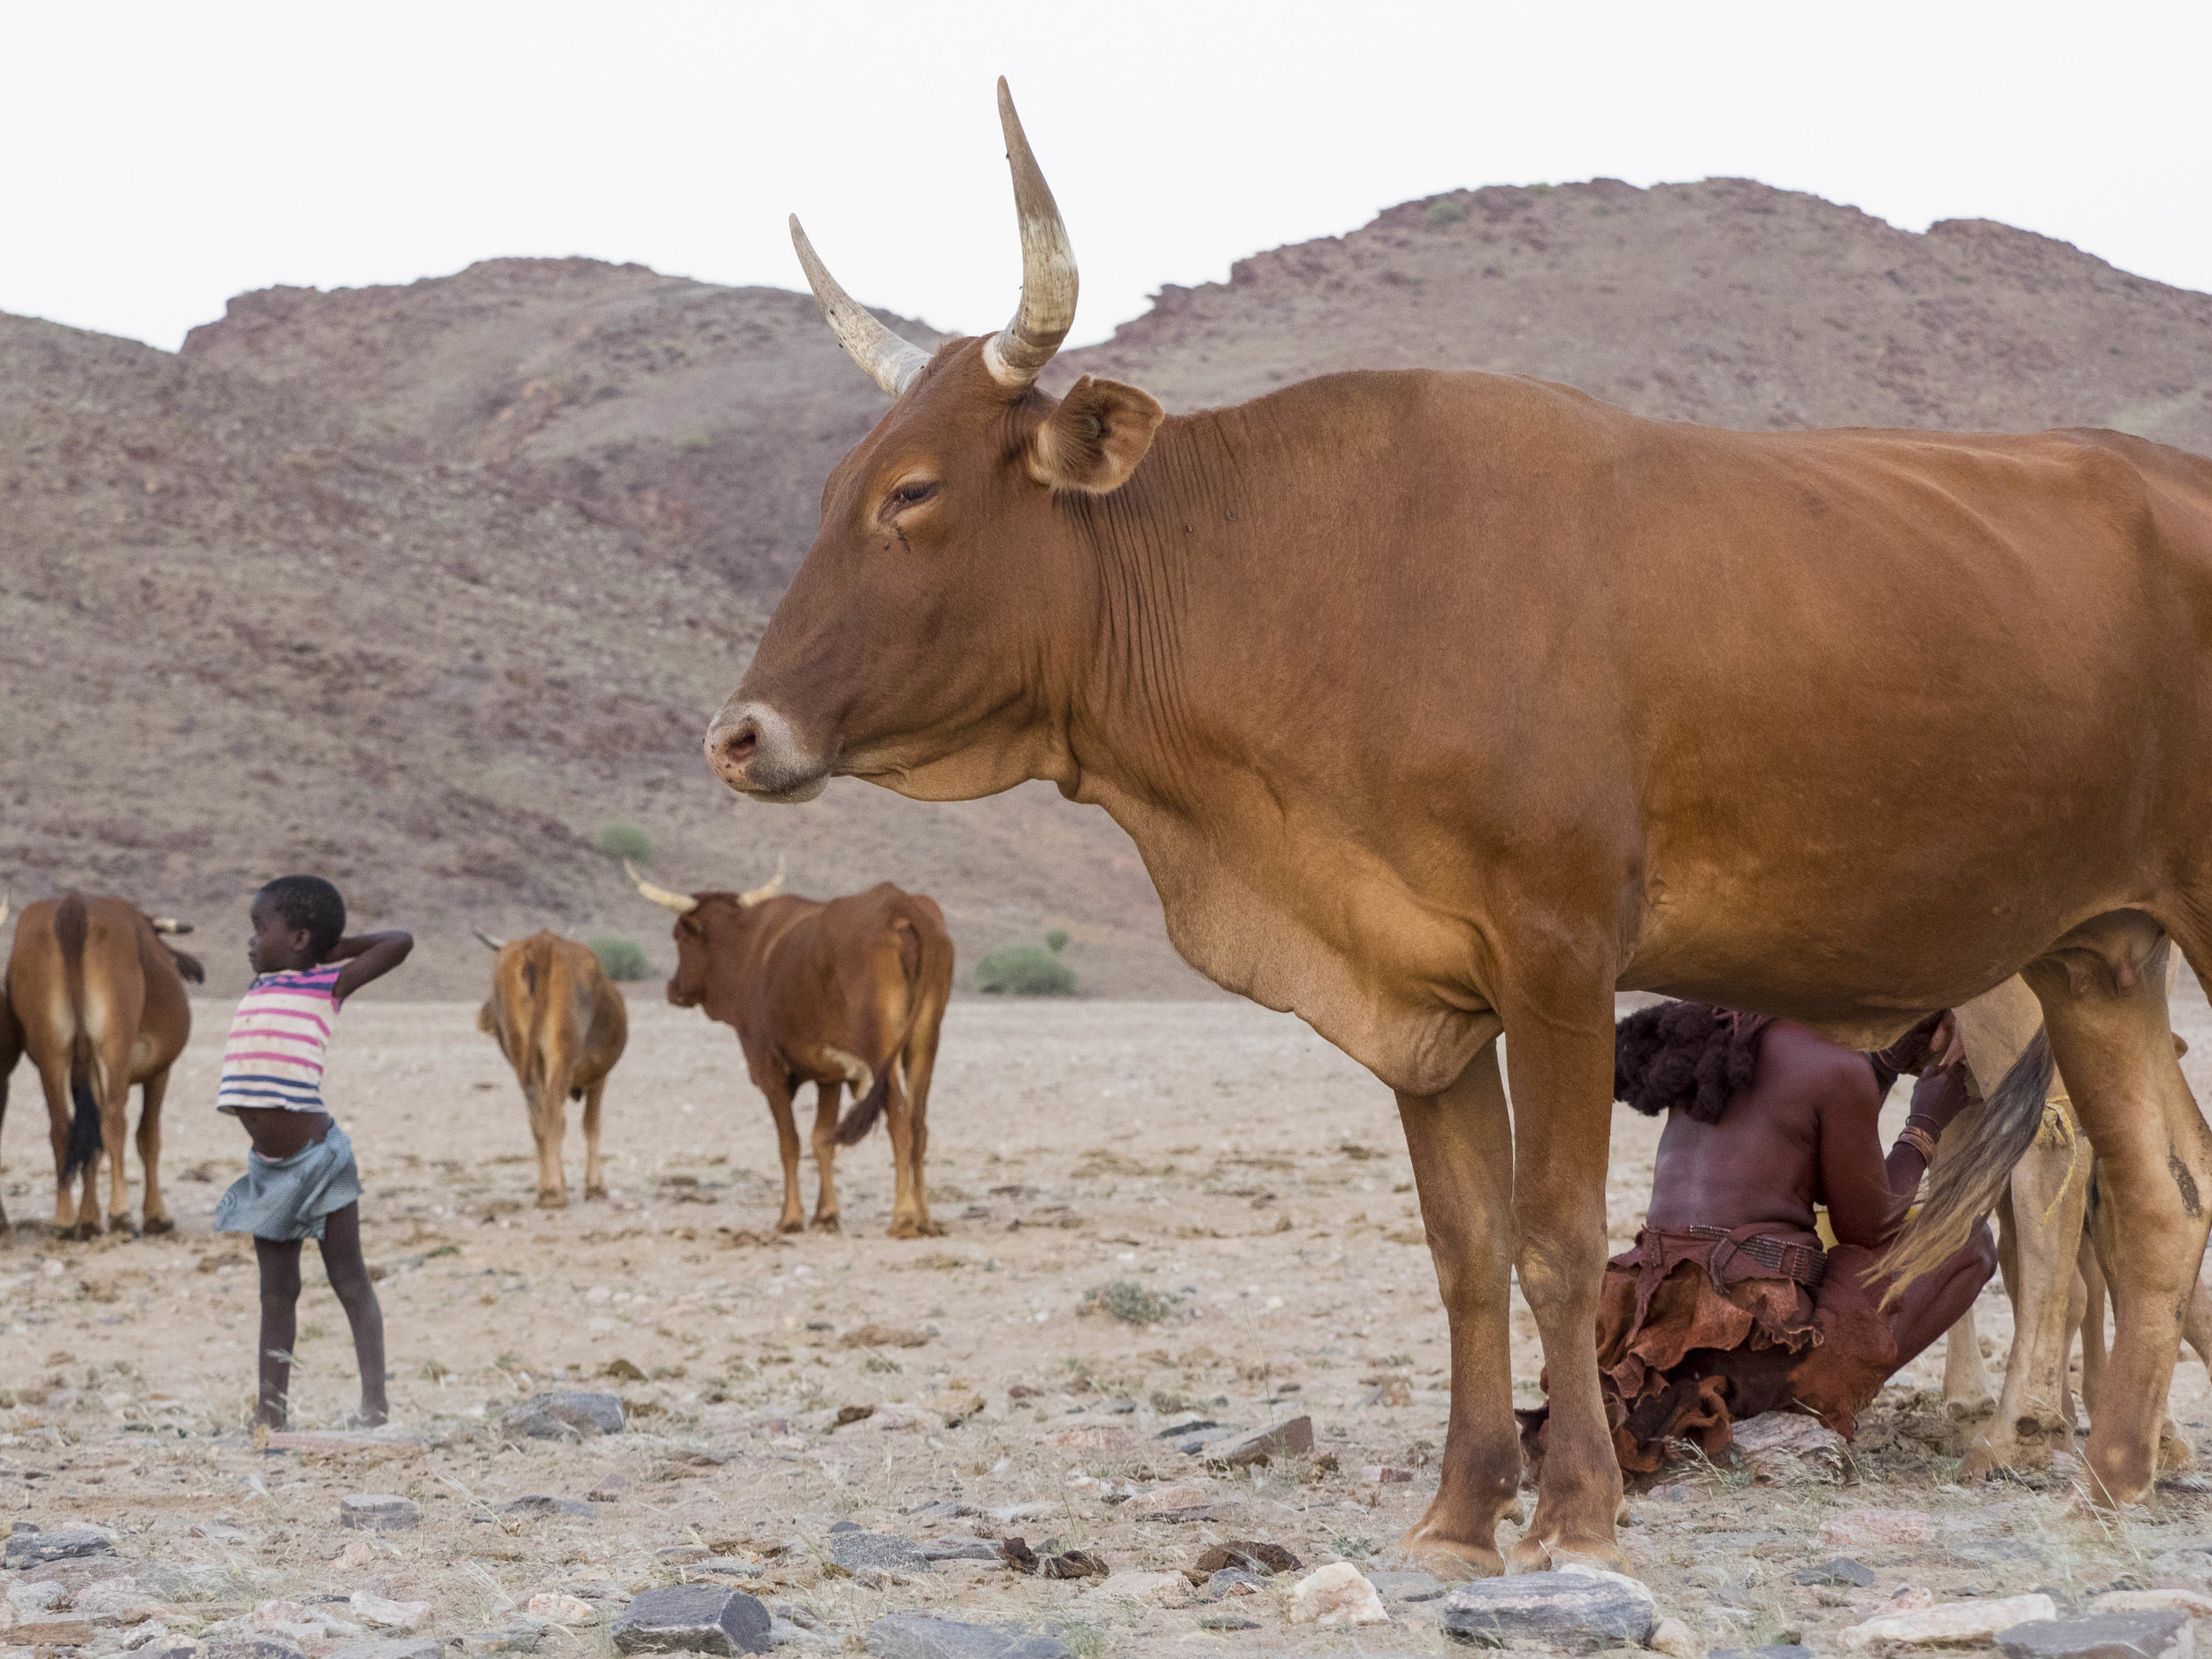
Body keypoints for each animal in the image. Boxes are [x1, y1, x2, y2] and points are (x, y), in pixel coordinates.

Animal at [1, 898, 204, 1239]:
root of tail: (74, 905)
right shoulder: (159, 1072)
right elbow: (148, 1137)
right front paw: (156, 1216)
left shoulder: (82, 1076)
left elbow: (89, 1144)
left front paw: (89, 1219)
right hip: (113, 1046)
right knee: (114, 1121)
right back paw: (121, 1213)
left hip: (52, 1052)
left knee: (62, 1128)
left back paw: (65, 1220)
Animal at [475, 938, 628, 1212]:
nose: (483, 1020)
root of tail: (540, 941)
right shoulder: (598, 1078)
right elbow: (591, 1125)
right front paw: (595, 1186)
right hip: (561, 1055)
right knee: (554, 1116)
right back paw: (553, 1193)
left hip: (525, 1057)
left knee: (539, 1118)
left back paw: (547, 1189)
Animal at [633, 863, 960, 1239]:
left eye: (679, 937)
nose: (673, 988)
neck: (746, 947)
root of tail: (900, 905)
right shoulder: (829, 1076)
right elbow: (822, 1139)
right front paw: (826, 1214)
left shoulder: (769, 1069)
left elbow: (789, 1142)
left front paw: (790, 1216)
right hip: (923, 1044)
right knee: (919, 1123)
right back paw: (925, 1217)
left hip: (882, 1049)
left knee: (900, 1117)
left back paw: (904, 1216)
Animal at [699, 81, 2212, 1584]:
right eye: (837, 487)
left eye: (913, 492)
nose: (740, 734)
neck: (1304, 577)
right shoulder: (1422, 994)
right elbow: (1465, 1246)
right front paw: (1463, 1505)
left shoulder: (1559, 962)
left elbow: (1555, 1236)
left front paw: (1575, 1505)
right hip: (2097, 950)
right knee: (2155, 1194)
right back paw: (2112, 1473)